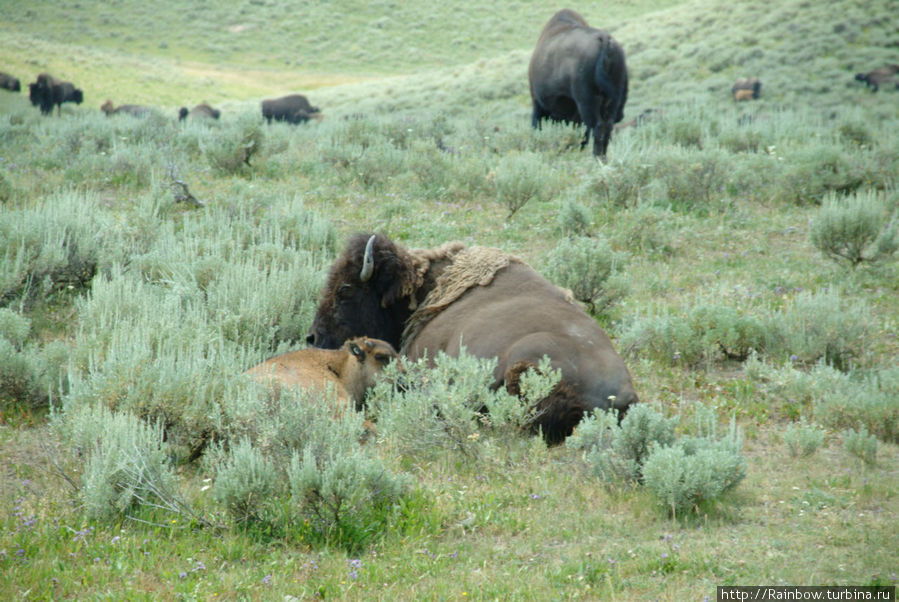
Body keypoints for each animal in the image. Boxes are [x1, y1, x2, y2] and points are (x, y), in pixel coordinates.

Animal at [532, 8, 628, 159]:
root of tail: (605, 41)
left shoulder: (538, 103)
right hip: (613, 100)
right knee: (607, 126)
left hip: (587, 101)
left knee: (598, 127)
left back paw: (596, 157)